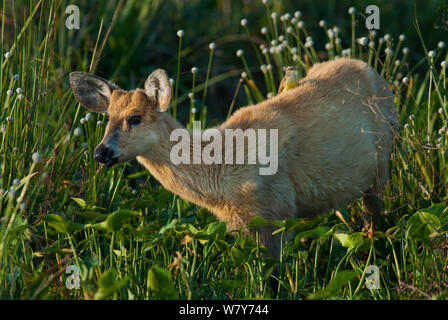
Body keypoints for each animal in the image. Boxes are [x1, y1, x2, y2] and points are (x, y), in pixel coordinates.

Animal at [69, 58, 396, 266]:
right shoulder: (244, 224)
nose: (101, 153)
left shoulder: (276, 210)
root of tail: (371, 69)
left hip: (381, 164)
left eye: (135, 118)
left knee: (372, 219)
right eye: (107, 118)